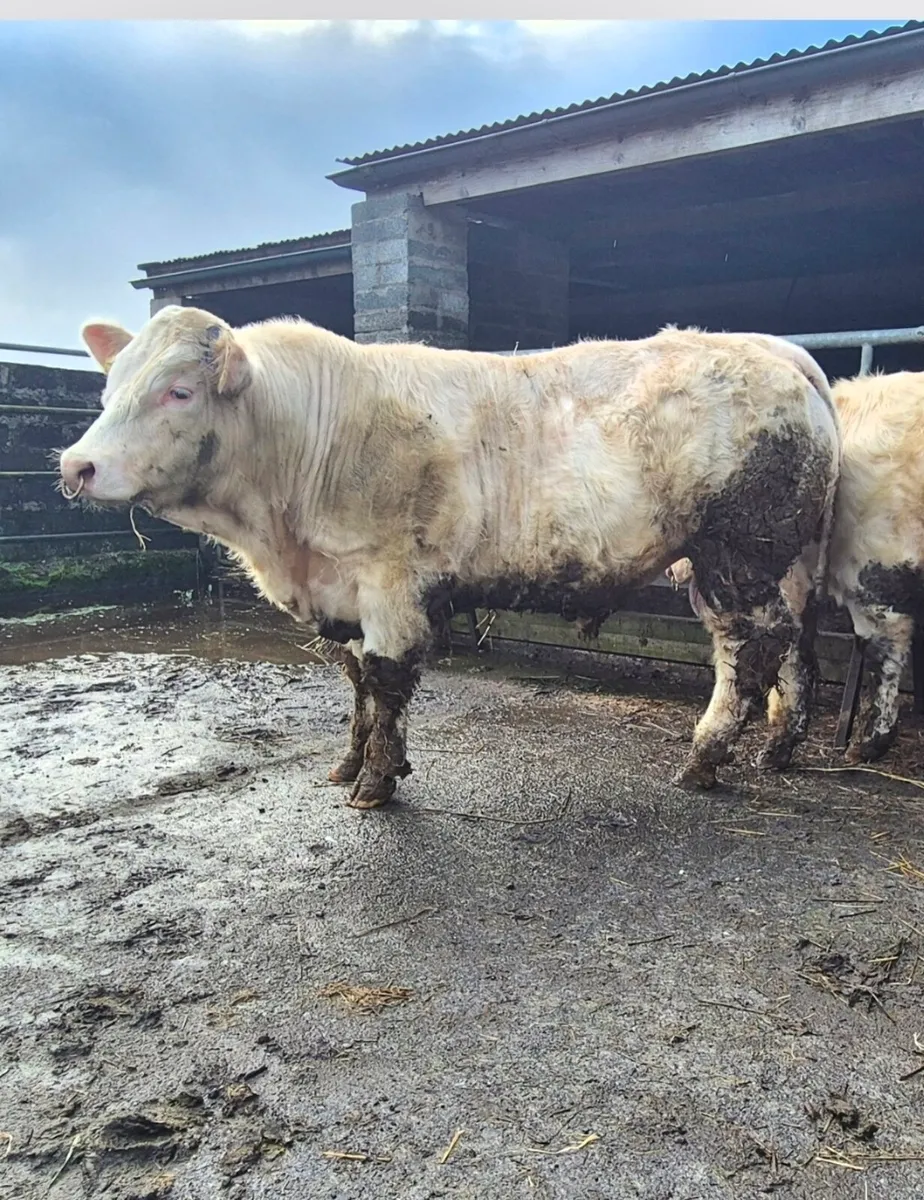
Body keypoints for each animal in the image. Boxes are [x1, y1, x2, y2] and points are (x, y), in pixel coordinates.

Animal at [58, 306, 839, 805]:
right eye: (108, 387)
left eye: (178, 390)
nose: (76, 465)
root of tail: (777, 350)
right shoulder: (344, 591)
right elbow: (357, 683)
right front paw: (350, 764)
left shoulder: (390, 580)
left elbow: (386, 679)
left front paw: (375, 783)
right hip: (781, 560)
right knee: (796, 643)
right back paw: (778, 747)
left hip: (733, 554)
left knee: (749, 646)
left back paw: (706, 758)